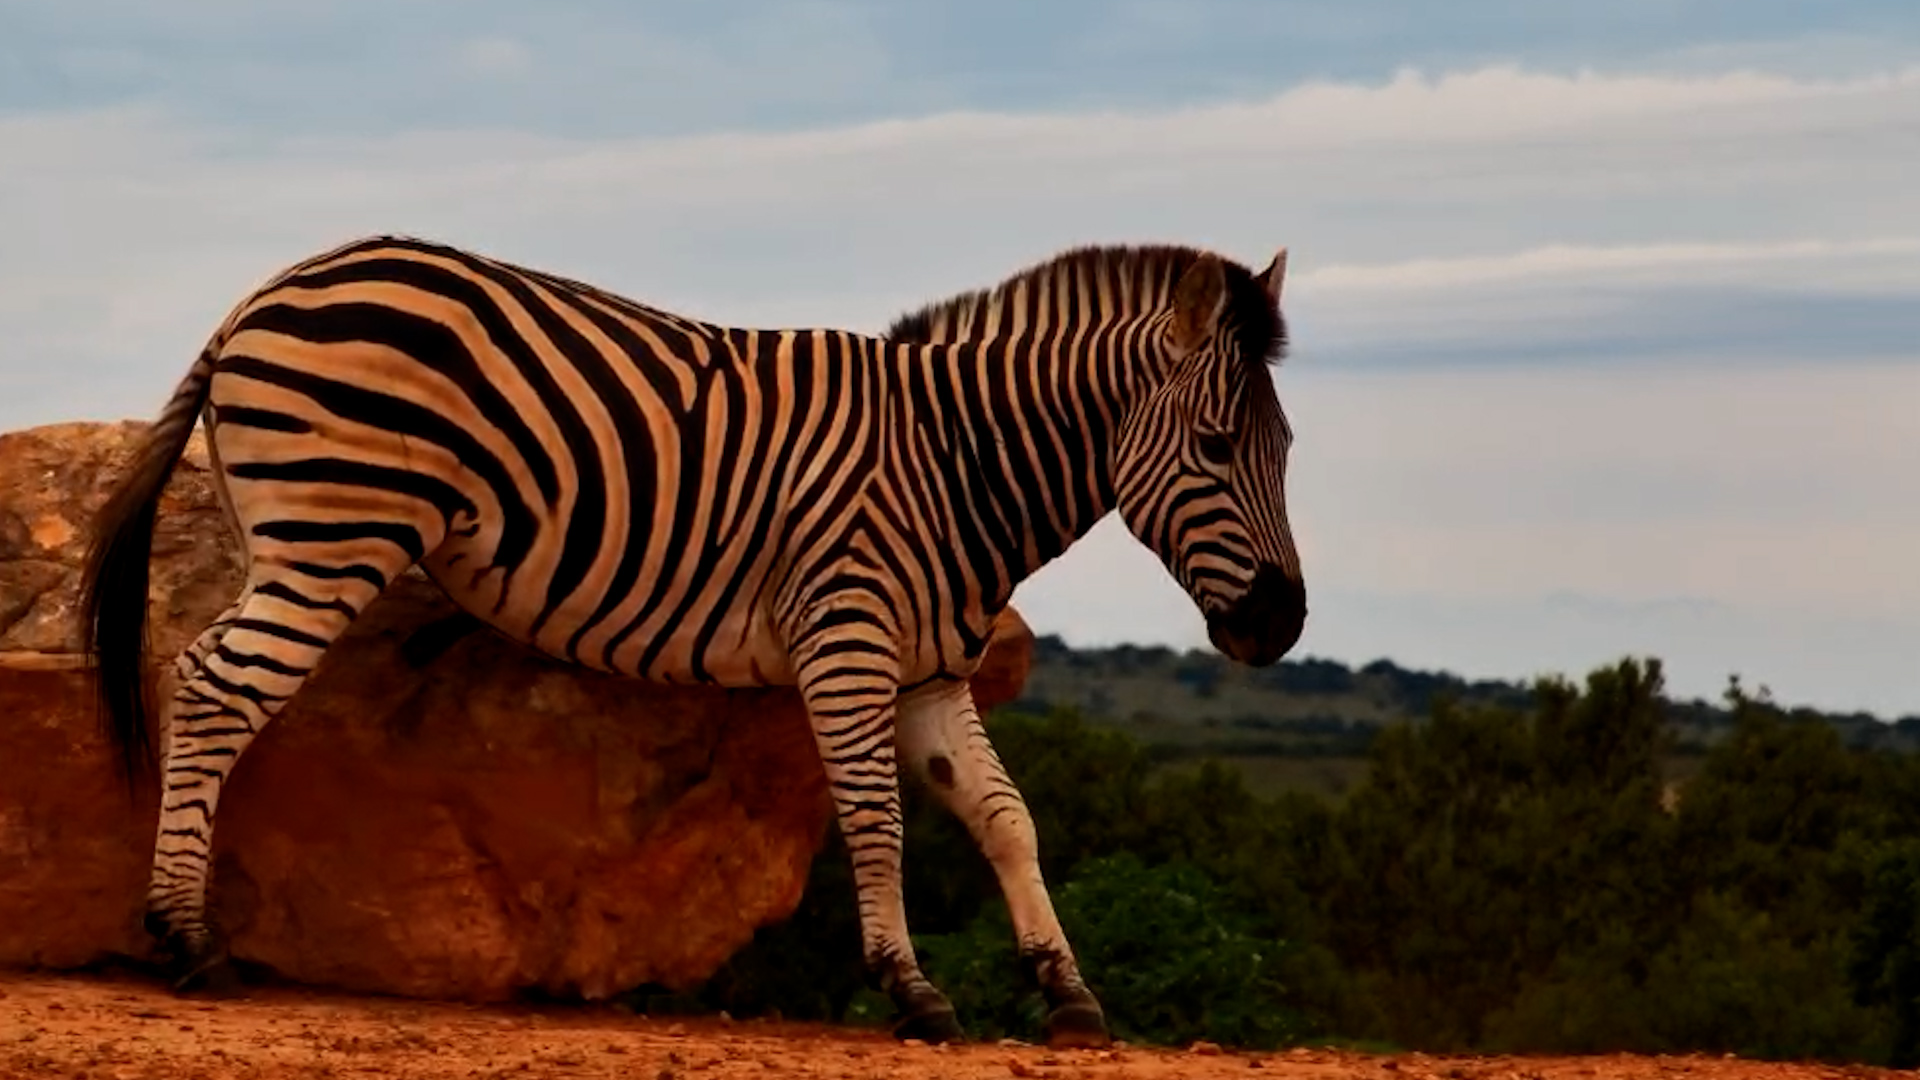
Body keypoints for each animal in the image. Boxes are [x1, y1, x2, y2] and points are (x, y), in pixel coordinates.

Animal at [80, 234, 1306, 1048]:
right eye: (1213, 446)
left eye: (1287, 448)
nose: (1283, 626)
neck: (955, 463)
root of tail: (268, 288)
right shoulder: (848, 636)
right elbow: (876, 821)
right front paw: (911, 991)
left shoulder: (931, 669)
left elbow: (1007, 818)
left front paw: (1067, 991)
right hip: (334, 534)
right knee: (213, 685)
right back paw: (184, 937)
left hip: (299, 537)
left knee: (203, 677)